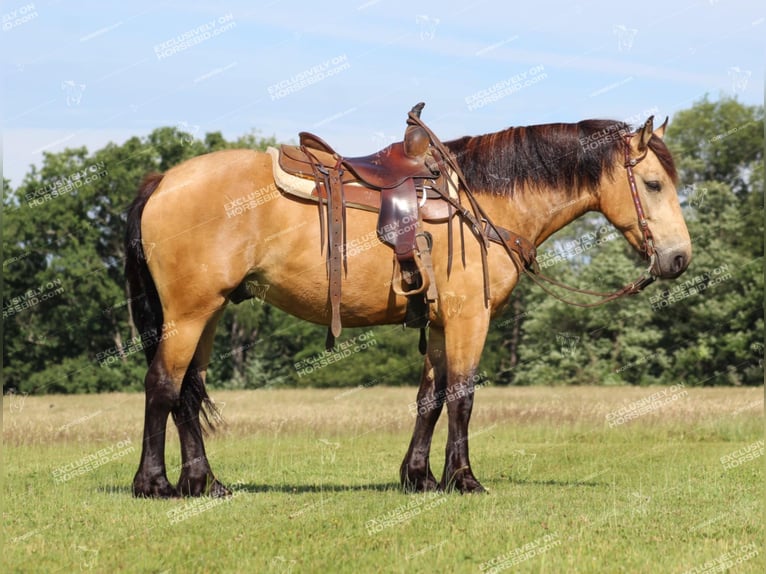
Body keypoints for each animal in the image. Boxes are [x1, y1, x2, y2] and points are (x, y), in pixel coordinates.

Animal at [124, 108, 688, 500]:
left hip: (209, 313)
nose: (679, 258)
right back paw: (154, 484)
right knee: (163, 385)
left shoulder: (439, 323)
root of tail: (163, 180)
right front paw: (464, 480)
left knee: (188, 393)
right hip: (189, 315)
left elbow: (429, 400)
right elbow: (461, 396)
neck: (484, 203)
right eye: (653, 184)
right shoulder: (468, 316)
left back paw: (204, 483)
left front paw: (419, 477)